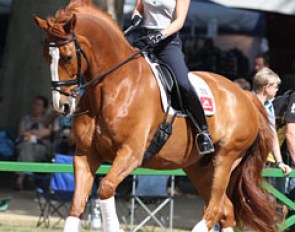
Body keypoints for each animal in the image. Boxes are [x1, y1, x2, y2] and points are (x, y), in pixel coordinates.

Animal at [34, 0, 280, 231]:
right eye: (46, 56)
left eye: (67, 57)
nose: (62, 105)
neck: (114, 86)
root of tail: (245, 95)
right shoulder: (85, 155)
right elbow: (76, 205)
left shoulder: (130, 153)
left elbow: (105, 189)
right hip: (199, 168)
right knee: (226, 210)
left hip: (225, 159)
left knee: (214, 210)